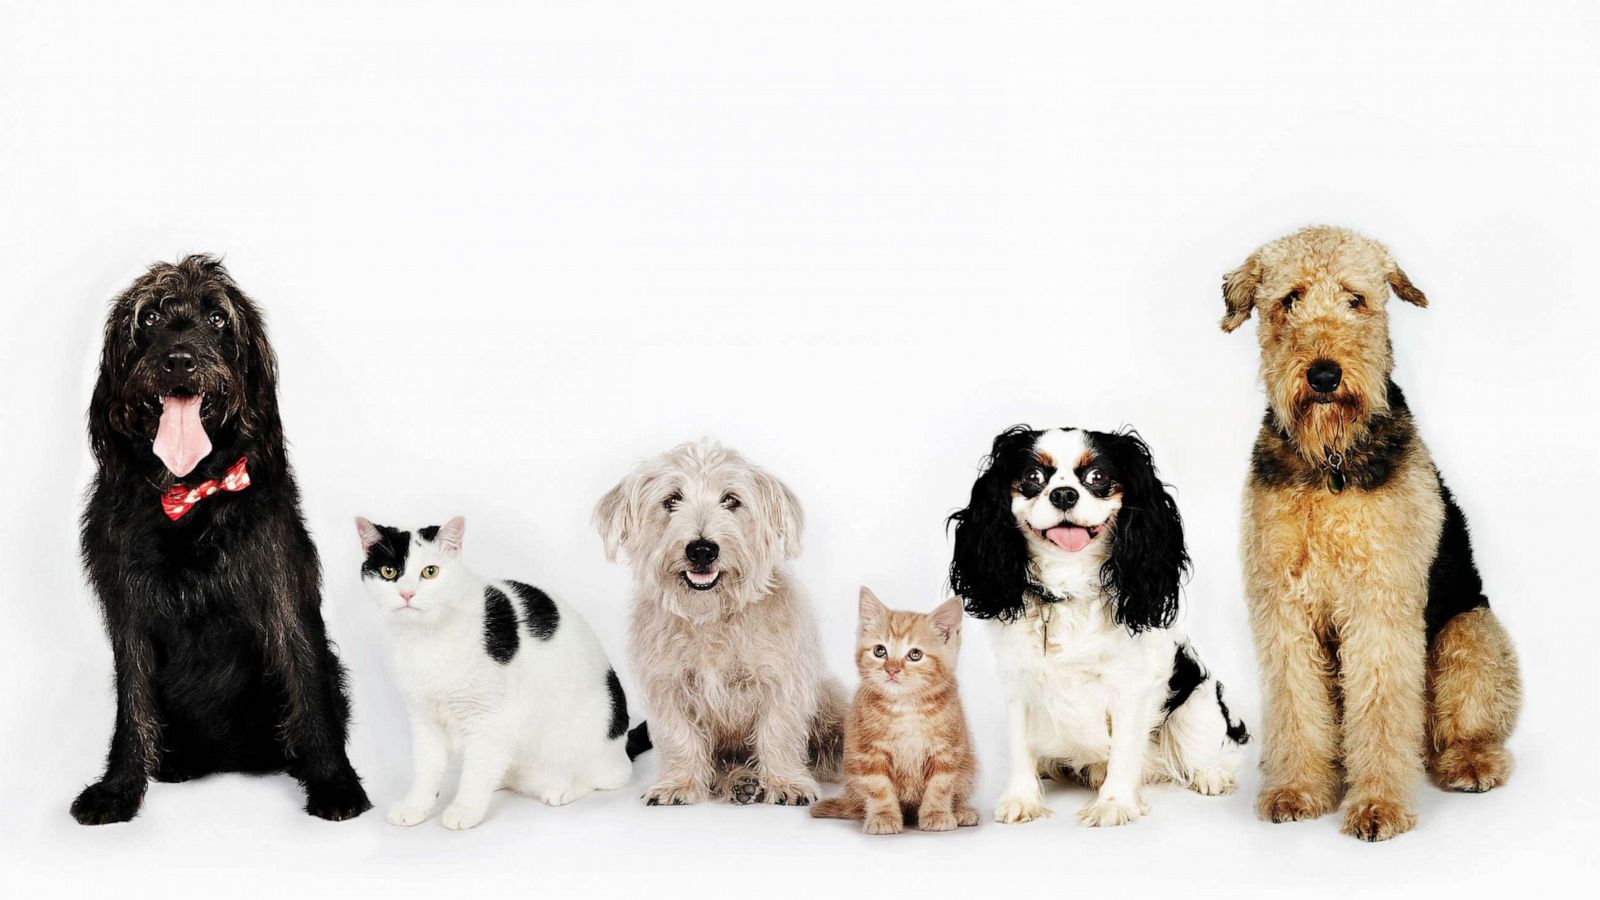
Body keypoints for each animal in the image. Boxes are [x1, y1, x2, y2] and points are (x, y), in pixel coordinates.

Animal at [73, 256, 369, 826]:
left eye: (217, 319)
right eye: (148, 318)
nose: (179, 361)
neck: (190, 494)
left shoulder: (283, 596)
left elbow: (308, 689)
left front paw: (334, 781)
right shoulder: (127, 614)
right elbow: (133, 705)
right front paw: (119, 788)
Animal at [356, 512, 643, 826]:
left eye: (430, 572)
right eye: (388, 572)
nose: (406, 594)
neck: (425, 639)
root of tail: (622, 743)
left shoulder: (488, 718)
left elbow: (475, 773)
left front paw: (465, 809)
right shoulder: (423, 719)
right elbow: (426, 768)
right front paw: (415, 806)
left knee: (608, 776)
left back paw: (561, 788)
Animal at [598, 438, 851, 800]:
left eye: (731, 500)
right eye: (671, 500)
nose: (702, 549)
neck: (710, 616)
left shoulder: (783, 683)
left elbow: (777, 733)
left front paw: (786, 782)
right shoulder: (667, 688)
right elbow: (680, 737)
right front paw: (680, 783)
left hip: (831, 701)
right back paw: (742, 782)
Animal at [812, 586, 972, 832]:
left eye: (915, 654)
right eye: (880, 651)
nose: (891, 669)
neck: (906, 706)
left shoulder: (947, 748)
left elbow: (941, 785)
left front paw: (936, 814)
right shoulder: (869, 750)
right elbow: (878, 787)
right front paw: (884, 817)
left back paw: (962, 812)